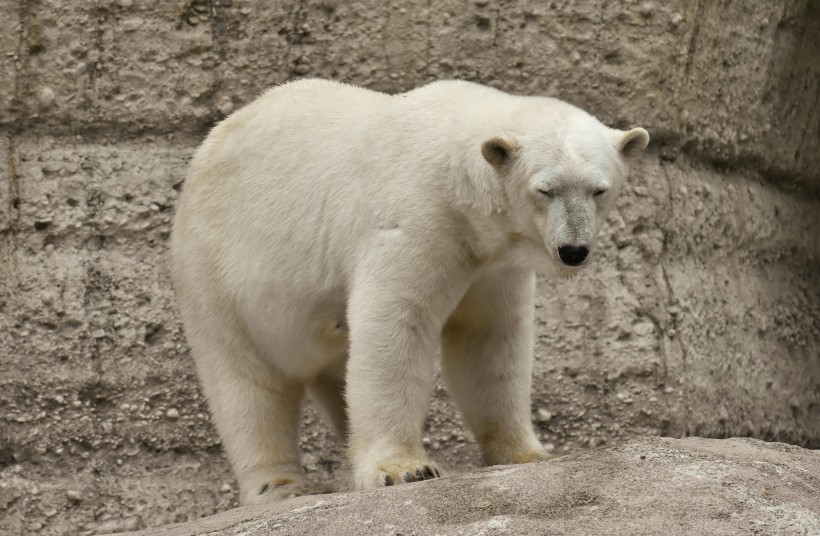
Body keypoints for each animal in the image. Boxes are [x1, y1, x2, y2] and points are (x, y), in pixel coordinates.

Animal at [170, 77, 652, 504]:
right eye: (545, 189)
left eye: (599, 189)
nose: (574, 250)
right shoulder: (415, 220)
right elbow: (396, 326)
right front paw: (404, 468)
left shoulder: (492, 265)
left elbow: (488, 340)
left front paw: (529, 453)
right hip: (217, 274)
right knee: (245, 382)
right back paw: (280, 484)